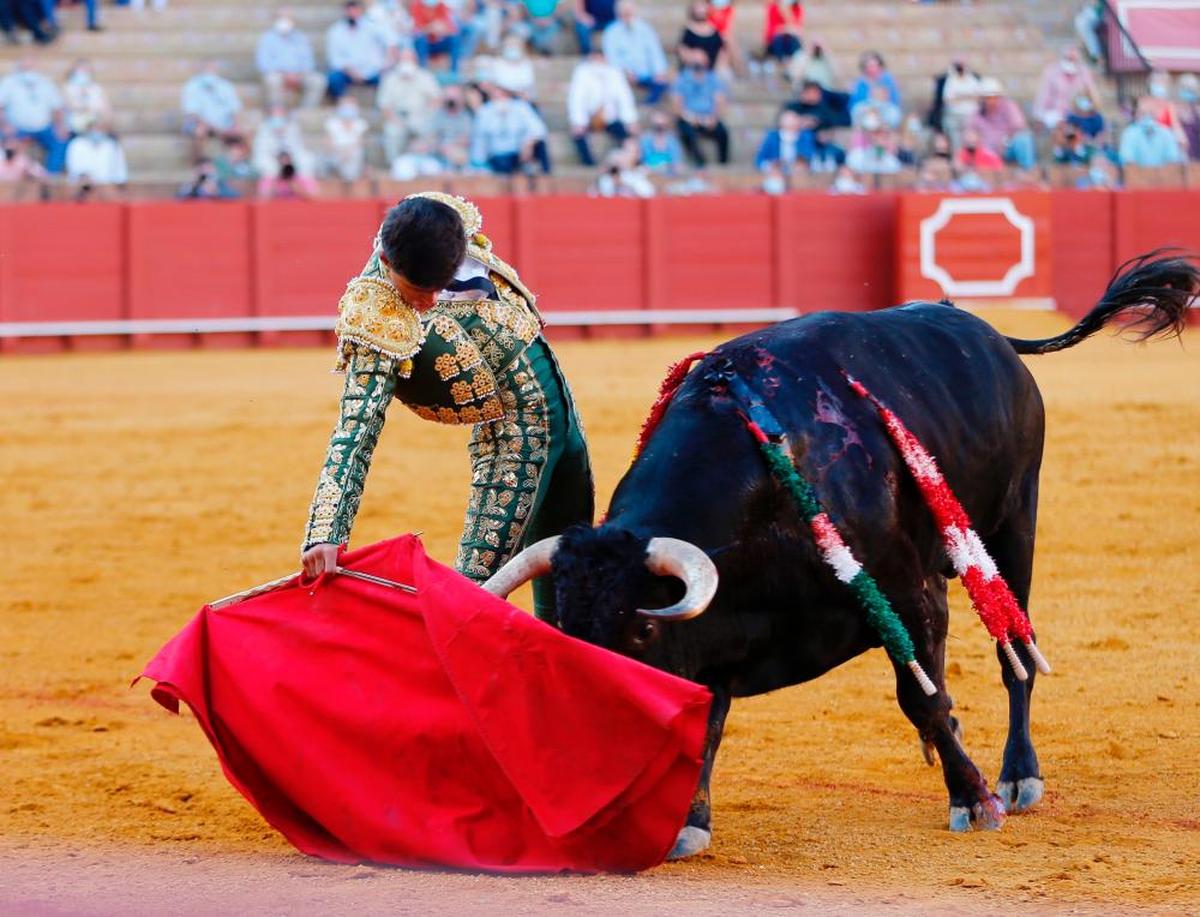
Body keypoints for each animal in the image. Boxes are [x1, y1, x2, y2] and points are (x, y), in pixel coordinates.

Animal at [482, 250, 1195, 859]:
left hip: (1013, 520)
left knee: (1013, 647)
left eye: (641, 631)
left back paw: (1017, 777)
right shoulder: (717, 634)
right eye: (568, 634)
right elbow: (710, 717)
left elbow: (919, 695)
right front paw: (687, 822)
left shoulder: (902, 589)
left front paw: (973, 799)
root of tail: (987, 332)